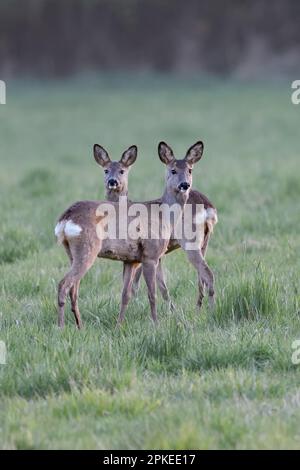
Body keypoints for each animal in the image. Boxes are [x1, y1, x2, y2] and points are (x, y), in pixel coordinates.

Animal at [54, 141, 213, 328]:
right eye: (173, 170)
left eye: (190, 170)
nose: (184, 185)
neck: (164, 213)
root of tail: (65, 218)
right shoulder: (150, 254)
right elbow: (152, 293)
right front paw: (156, 324)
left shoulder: (131, 259)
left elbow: (125, 295)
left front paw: (119, 326)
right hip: (88, 249)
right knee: (64, 284)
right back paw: (61, 327)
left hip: (72, 253)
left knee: (73, 288)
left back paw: (80, 327)